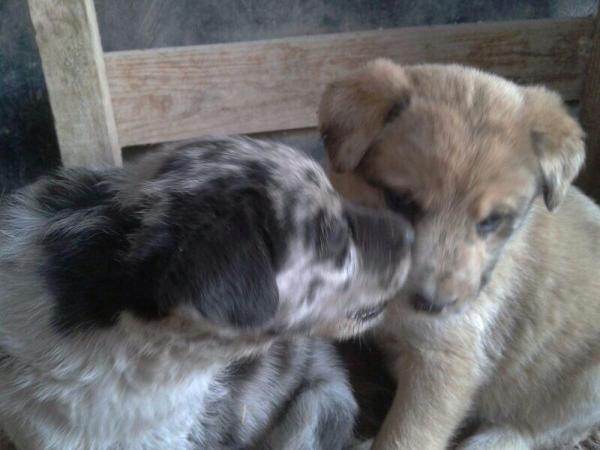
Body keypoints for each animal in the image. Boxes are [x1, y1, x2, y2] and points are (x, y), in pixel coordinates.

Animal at [322, 59, 600, 450]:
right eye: (399, 201)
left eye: (492, 221)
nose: (432, 305)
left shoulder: (445, 362)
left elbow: (405, 438)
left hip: (584, 386)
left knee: (541, 427)